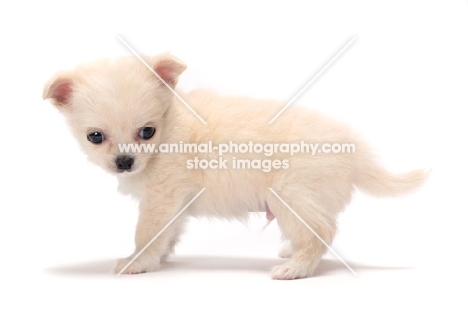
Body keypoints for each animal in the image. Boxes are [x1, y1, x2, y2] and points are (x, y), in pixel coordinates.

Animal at [42, 54, 430, 282]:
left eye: (147, 132)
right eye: (95, 136)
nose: (124, 162)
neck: (170, 128)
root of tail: (355, 152)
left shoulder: (161, 197)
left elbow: (146, 232)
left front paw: (138, 261)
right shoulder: (173, 204)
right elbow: (168, 233)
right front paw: (160, 258)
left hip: (291, 195)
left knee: (321, 232)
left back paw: (295, 268)